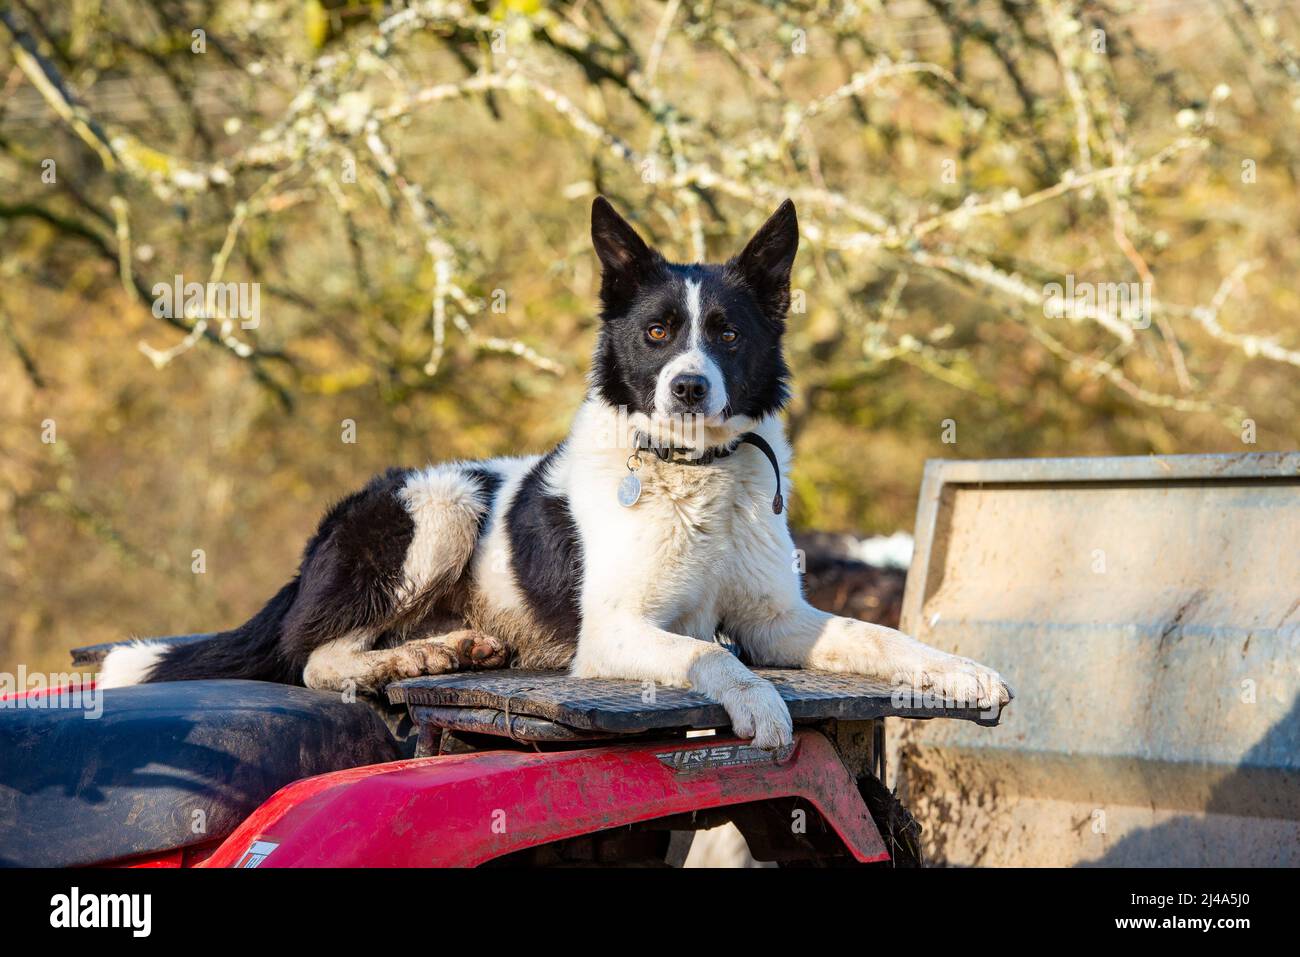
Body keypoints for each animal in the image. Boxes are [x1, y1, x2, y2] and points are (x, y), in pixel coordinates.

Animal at [104, 197, 1013, 748]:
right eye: (656, 332)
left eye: (726, 332)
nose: (688, 387)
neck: (692, 475)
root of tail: (322, 539)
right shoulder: (617, 629)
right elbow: (711, 656)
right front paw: (758, 701)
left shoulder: (778, 619)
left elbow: (876, 633)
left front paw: (958, 672)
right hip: (441, 504)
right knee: (315, 654)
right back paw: (413, 659)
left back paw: (445, 646)